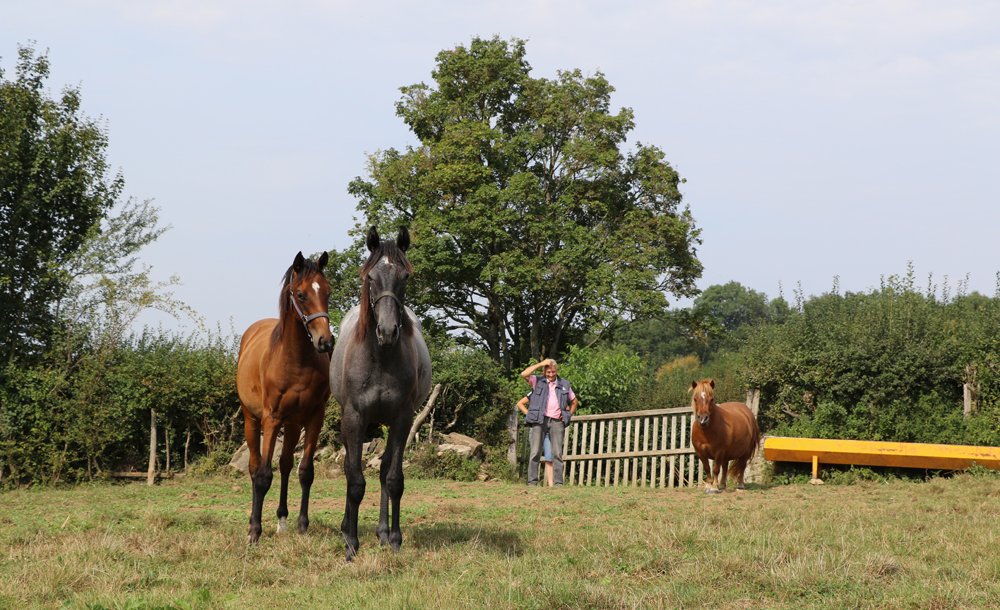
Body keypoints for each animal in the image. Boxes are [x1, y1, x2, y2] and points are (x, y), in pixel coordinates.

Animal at [236, 251, 333, 543]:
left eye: (327, 291)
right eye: (301, 294)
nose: (326, 341)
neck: (295, 360)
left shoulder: (314, 418)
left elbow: (305, 471)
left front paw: (302, 525)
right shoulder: (272, 418)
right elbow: (263, 475)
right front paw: (254, 532)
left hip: (292, 425)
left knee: (286, 465)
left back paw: (282, 520)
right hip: (252, 420)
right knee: (255, 467)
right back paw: (252, 522)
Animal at [329, 226, 431, 561]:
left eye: (405, 277)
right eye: (371, 277)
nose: (387, 332)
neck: (381, 357)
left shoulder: (402, 419)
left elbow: (394, 479)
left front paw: (395, 538)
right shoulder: (354, 419)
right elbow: (354, 480)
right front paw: (351, 542)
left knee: (385, 468)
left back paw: (383, 533)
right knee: (350, 469)